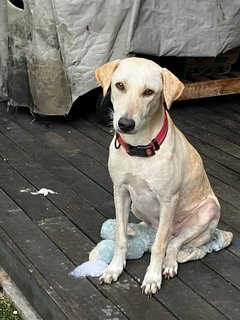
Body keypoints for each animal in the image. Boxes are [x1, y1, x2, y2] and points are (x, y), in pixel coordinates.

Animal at [94, 57, 224, 296]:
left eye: (149, 92)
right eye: (119, 86)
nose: (125, 124)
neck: (138, 148)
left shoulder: (168, 200)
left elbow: (159, 245)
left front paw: (152, 278)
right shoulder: (120, 191)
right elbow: (119, 237)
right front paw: (114, 268)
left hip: (209, 209)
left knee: (174, 243)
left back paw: (169, 264)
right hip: (137, 206)